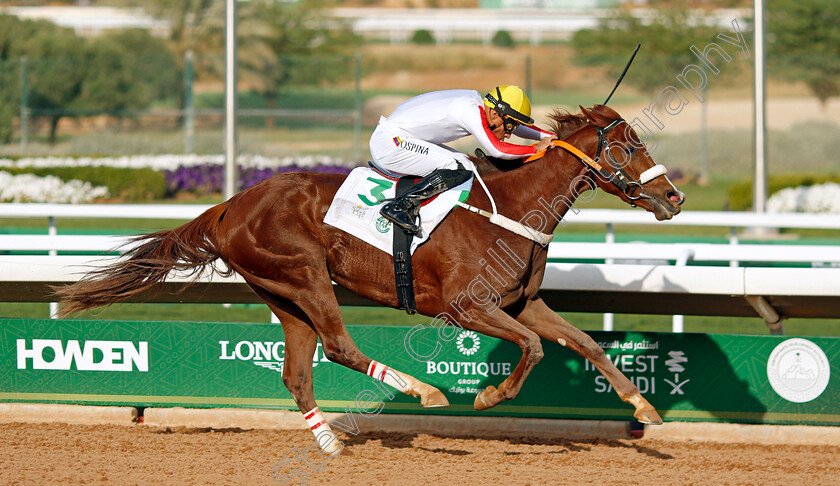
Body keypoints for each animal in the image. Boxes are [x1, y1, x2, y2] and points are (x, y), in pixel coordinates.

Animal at [57, 104, 684, 454]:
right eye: (629, 145)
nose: (674, 197)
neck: (510, 208)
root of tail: (230, 205)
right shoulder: (466, 307)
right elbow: (532, 348)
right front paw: (488, 395)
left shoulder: (521, 303)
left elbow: (583, 343)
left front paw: (643, 408)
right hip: (306, 275)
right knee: (338, 346)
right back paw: (423, 391)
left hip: (282, 293)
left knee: (297, 371)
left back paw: (330, 441)